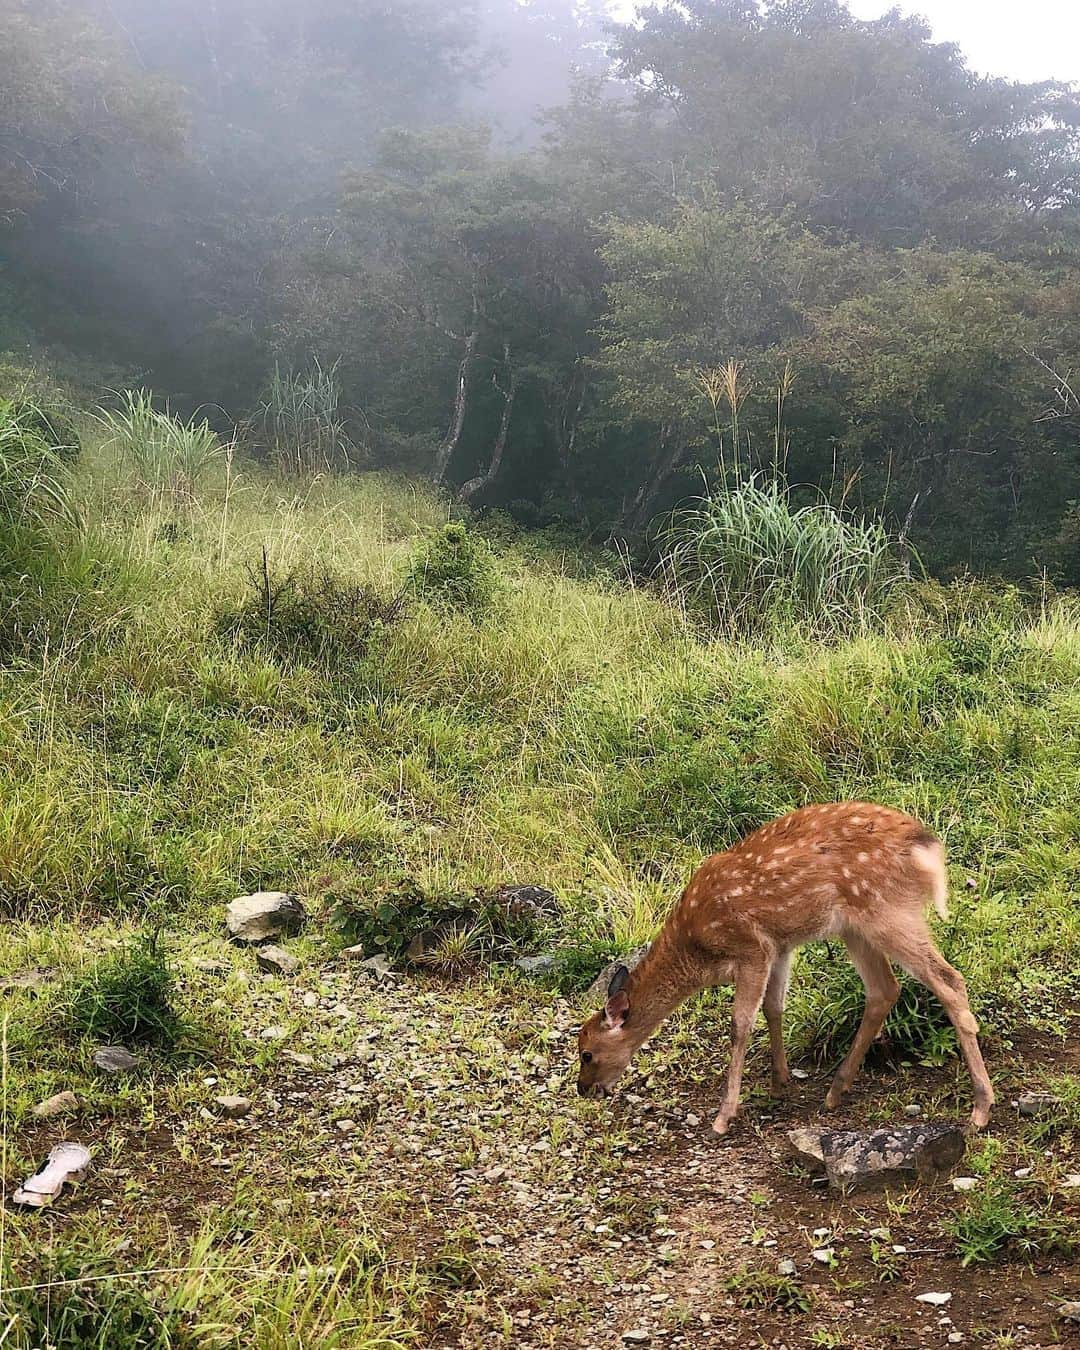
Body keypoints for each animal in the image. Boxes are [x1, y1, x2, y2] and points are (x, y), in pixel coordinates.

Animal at [572, 793, 993, 1134]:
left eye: (587, 1052)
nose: (583, 1088)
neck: (696, 949)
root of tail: (927, 847)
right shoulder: (780, 946)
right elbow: (774, 1008)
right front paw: (780, 1082)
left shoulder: (751, 947)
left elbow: (740, 1024)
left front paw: (724, 1116)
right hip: (856, 928)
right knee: (884, 989)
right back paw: (836, 1090)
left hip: (887, 911)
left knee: (948, 980)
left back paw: (980, 1108)